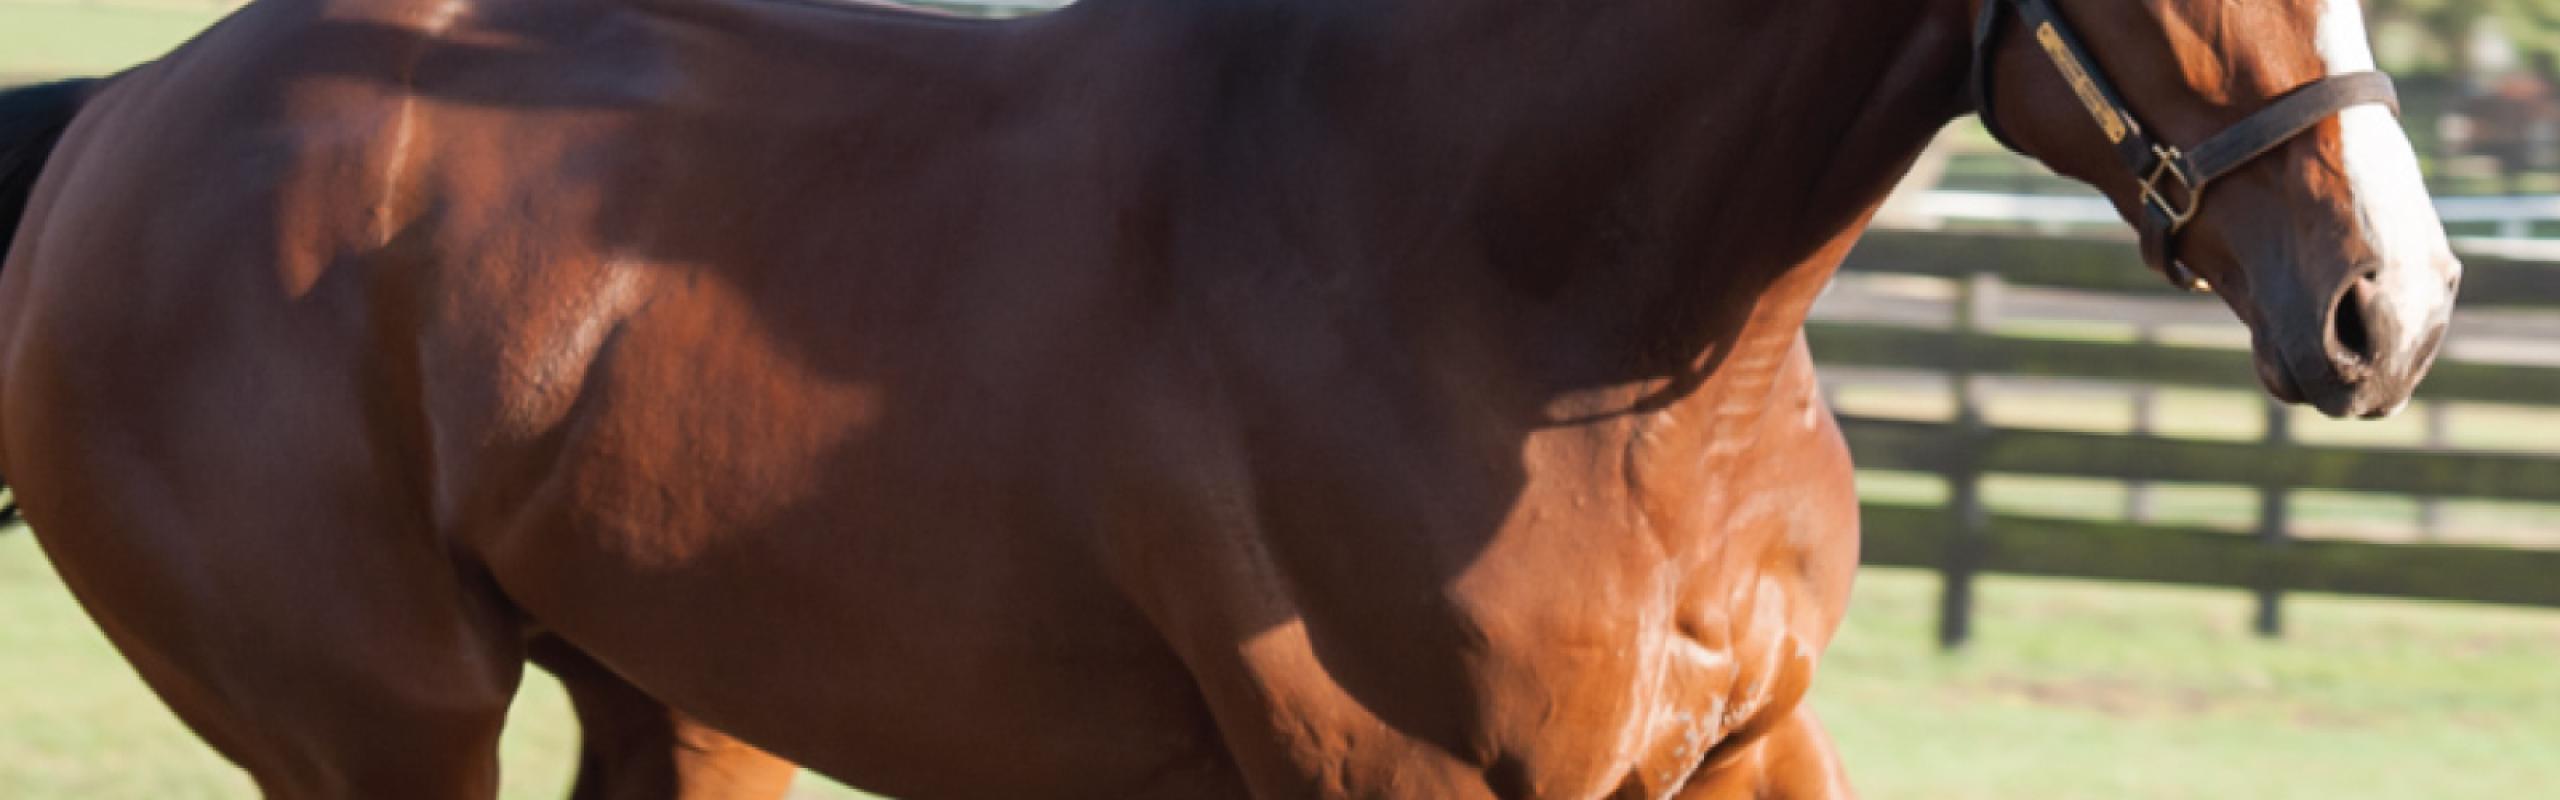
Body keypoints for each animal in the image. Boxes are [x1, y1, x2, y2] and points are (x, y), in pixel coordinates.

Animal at [0, 0, 2455, 796]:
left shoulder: (1745, 746)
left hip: (684, 717)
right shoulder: (1402, 779)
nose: (2395, 307)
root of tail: (128, 109)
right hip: (381, 731)